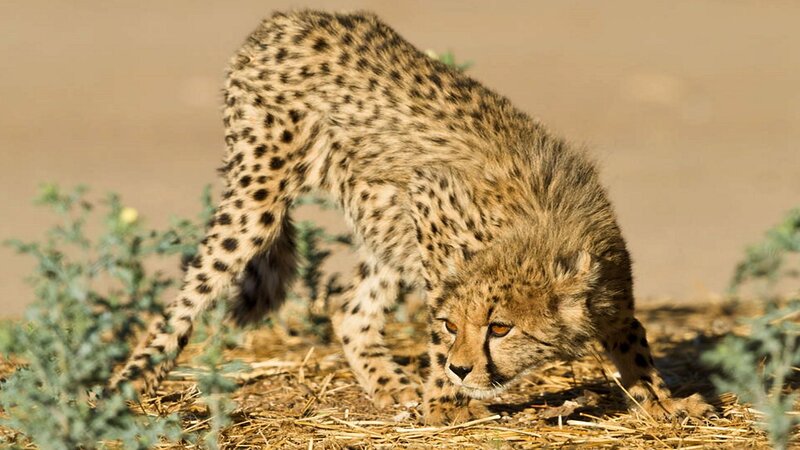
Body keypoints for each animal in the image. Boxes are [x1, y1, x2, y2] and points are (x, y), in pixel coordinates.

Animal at [109, 9, 711, 425]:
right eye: (453, 325)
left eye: (500, 327)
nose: (462, 368)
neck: (540, 237)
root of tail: (289, 19)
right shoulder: (428, 201)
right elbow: (435, 328)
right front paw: (446, 404)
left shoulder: (612, 287)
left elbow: (633, 340)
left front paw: (663, 402)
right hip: (260, 197)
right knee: (184, 303)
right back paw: (124, 385)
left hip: (384, 225)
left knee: (351, 311)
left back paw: (391, 385)